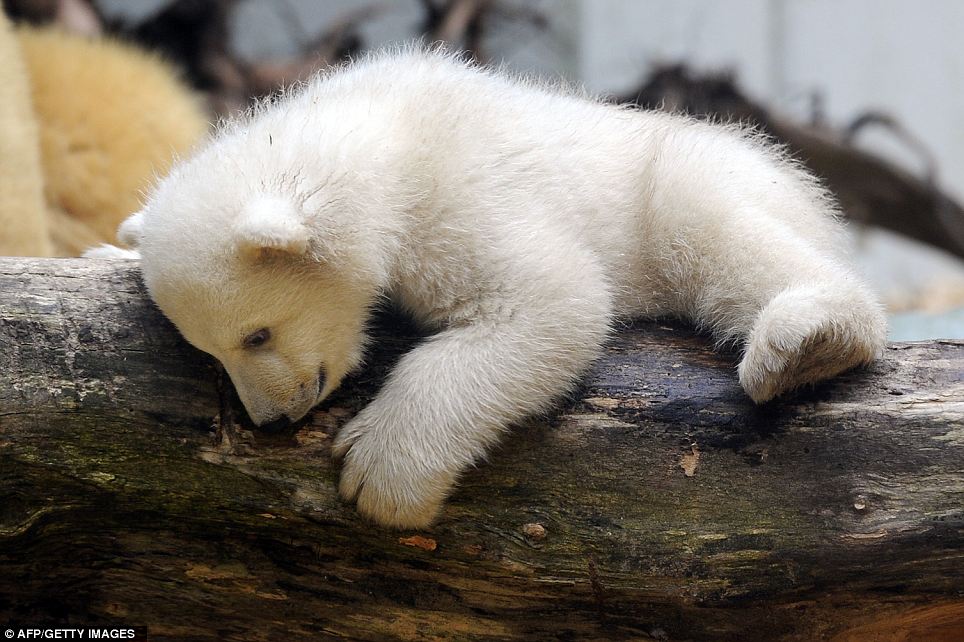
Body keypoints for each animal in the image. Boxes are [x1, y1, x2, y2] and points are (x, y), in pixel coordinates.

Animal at [88, 47, 887, 529]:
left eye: (257, 333)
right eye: (210, 352)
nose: (274, 419)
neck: (382, 124)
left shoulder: (455, 196)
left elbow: (554, 303)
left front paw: (379, 475)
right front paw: (104, 249)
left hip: (683, 178)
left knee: (710, 224)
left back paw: (807, 340)